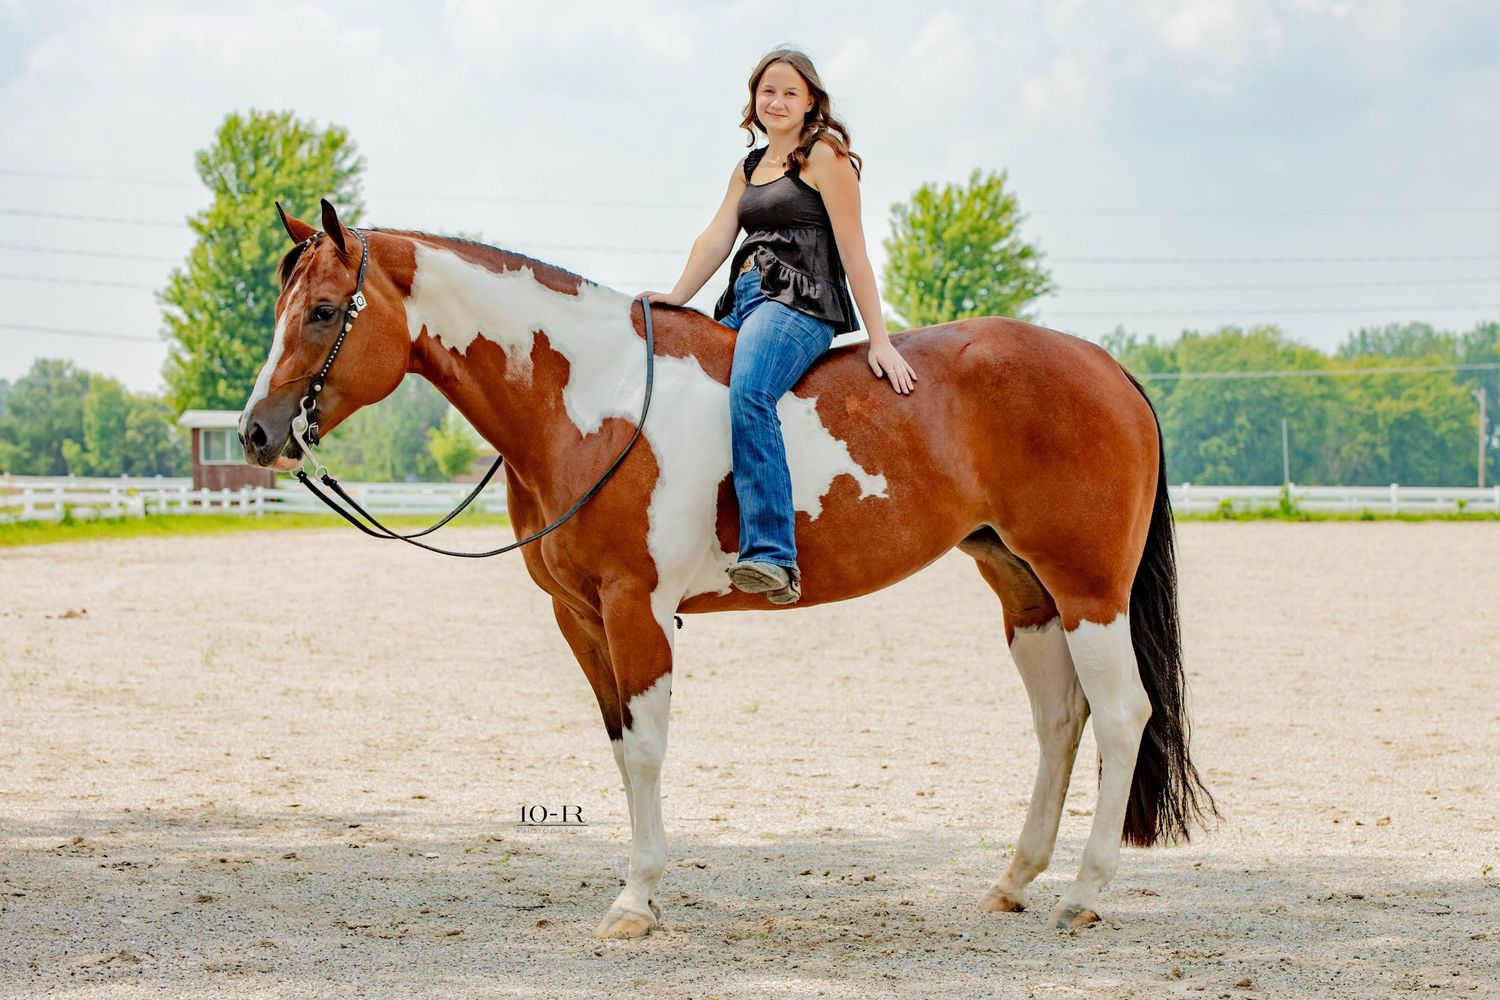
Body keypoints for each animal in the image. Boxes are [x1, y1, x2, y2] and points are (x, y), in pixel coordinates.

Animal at [239, 199, 1215, 939]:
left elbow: (647, 751)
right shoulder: (579, 617)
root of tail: (1107, 368)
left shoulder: (637, 608)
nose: (255, 431)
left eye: (322, 311)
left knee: (1121, 716)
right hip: (1024, 591)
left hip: (1088, 590)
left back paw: (1084, 895)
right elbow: (620, 745)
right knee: (1060, 721)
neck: (592, 396)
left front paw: (636, 902)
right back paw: (1013, 881)